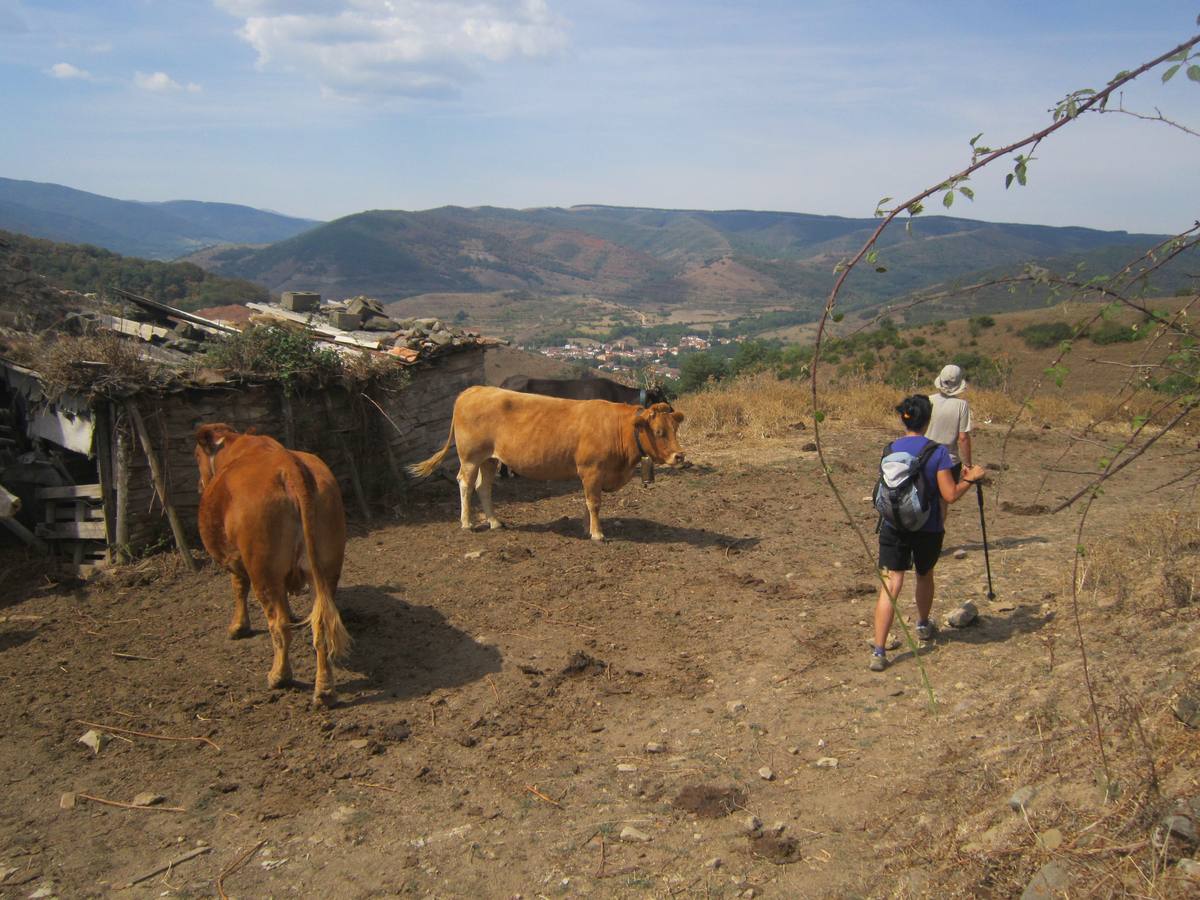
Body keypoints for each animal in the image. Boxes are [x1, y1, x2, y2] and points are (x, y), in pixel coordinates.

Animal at [194, 427, 350, 710]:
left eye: (197, 456)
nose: (199, 484)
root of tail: (289, 466)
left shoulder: (235, 561)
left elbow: (238, 588)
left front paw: (238, 627)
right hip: (326, 570)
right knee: (320, 622)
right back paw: (324, 691)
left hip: (263, 572)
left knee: (278, 625)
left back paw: (279, 676)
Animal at [405, 384, 686, 540]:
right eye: (659, 431)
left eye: (675, 429)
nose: (679, 456)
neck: (619, 428)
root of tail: (473, 390)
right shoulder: (592, 470)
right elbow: (594, 503)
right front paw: (597, 533)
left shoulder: (588, 475)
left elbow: (586, 502)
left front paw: (585, 527)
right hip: (471, 457)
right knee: (465, 484)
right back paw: (467, 523)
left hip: (490, 459)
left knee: (483, 487)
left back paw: (494, 522)